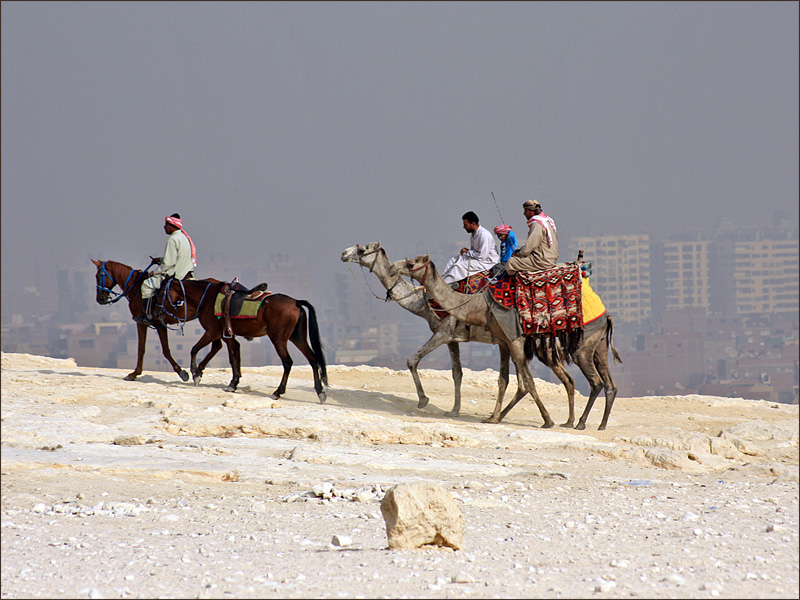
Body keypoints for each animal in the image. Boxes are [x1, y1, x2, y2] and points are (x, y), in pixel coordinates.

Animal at [167, 280, 330, 404]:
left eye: (164, 291)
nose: (164, 313)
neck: (207, 297)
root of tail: (296, 302)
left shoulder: (212, 332)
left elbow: (195, 349)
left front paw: (195, 373)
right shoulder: (227, 336)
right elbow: (234, 357)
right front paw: (233, 383)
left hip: (278, 339)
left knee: (288, 362)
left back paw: (278, 392)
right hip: (297, 337)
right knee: (313, 359)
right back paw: (320, 391)